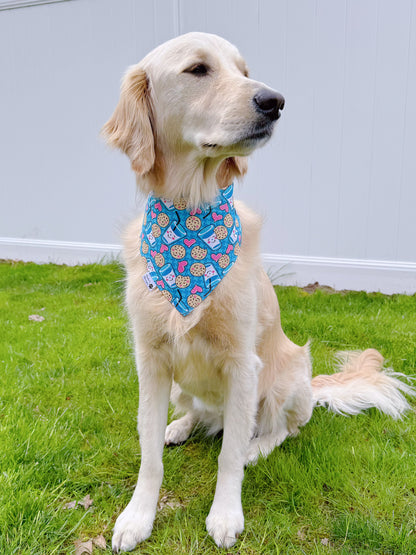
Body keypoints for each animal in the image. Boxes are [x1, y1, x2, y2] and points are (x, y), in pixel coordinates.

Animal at [103, 32, 412, 552]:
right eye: (198, 70)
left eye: (244, 71)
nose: (275, 101)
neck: (190, 217)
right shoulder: (152, 360)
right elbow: (148, 456)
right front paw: (137, 517)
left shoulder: (241, 364)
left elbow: (228, 457)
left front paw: (226, 513)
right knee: (201, 417)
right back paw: (179, 425)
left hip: (285, 379)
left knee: (281, 429)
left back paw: (256, 445)